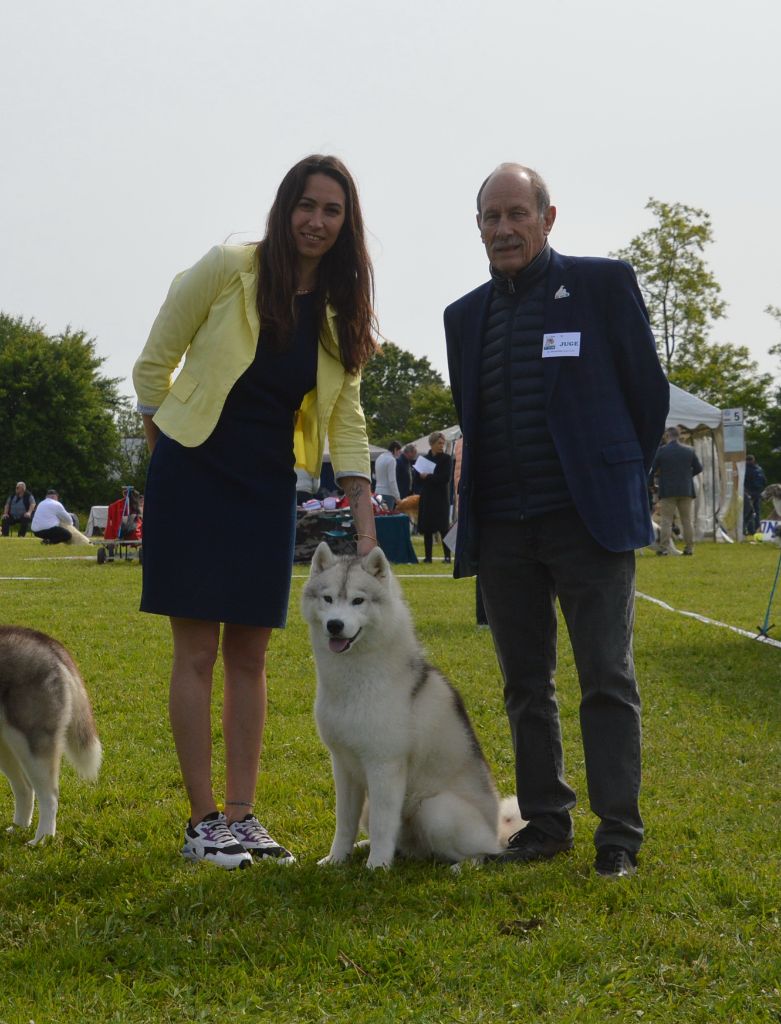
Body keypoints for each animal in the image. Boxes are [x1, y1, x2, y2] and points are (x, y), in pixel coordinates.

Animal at [0, 626, 102, 843]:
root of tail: (45, 641)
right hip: (6, 745)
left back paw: (42, 839)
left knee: (50, 795)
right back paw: (19, 827)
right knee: (24, 788)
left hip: (31, 742)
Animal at [302, 540, 503, 868]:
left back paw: (463, 865)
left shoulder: (384, 766)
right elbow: (344, 821)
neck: (352, 682)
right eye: (328, 598)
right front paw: (337, 859)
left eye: (358, 601)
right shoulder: (343, 765)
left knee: (486, 852)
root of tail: (497, 831)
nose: (334, 625)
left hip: (437, 811)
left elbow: (384, 824)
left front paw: (377, 867)